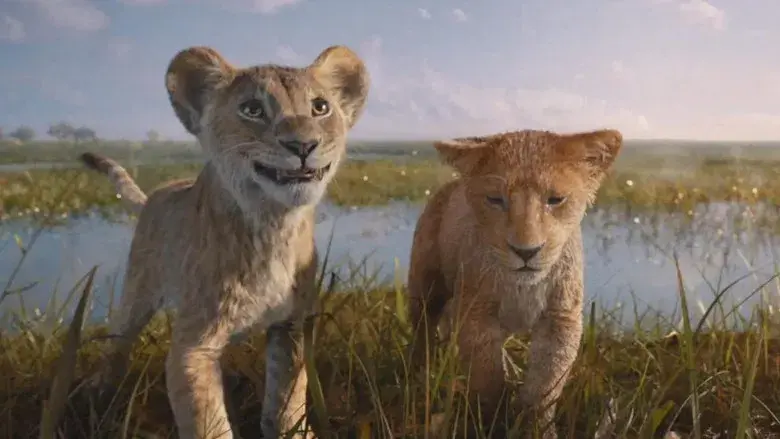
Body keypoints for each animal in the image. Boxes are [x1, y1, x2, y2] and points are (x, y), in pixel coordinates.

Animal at [79, 45, 369, 439]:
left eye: (320, 107)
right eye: (253, 109)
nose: (303, 145)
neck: (273, 224)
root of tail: (159, 192)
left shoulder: (291, 326)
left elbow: (287, 399)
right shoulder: (191, 349)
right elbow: (208, 423)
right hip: (138, 292)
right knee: (118, 341)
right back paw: (99, 396)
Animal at [407, 128, 623, 438]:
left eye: (555, 199)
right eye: (496, 200)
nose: (526, 251)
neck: (522, 287)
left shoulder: (561, 320)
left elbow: (544, 387)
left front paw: (537, 428)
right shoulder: (475, 314)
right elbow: (487, 379)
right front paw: (491, 423)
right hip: (425, 288)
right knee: (422, 333)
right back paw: (418, 376)